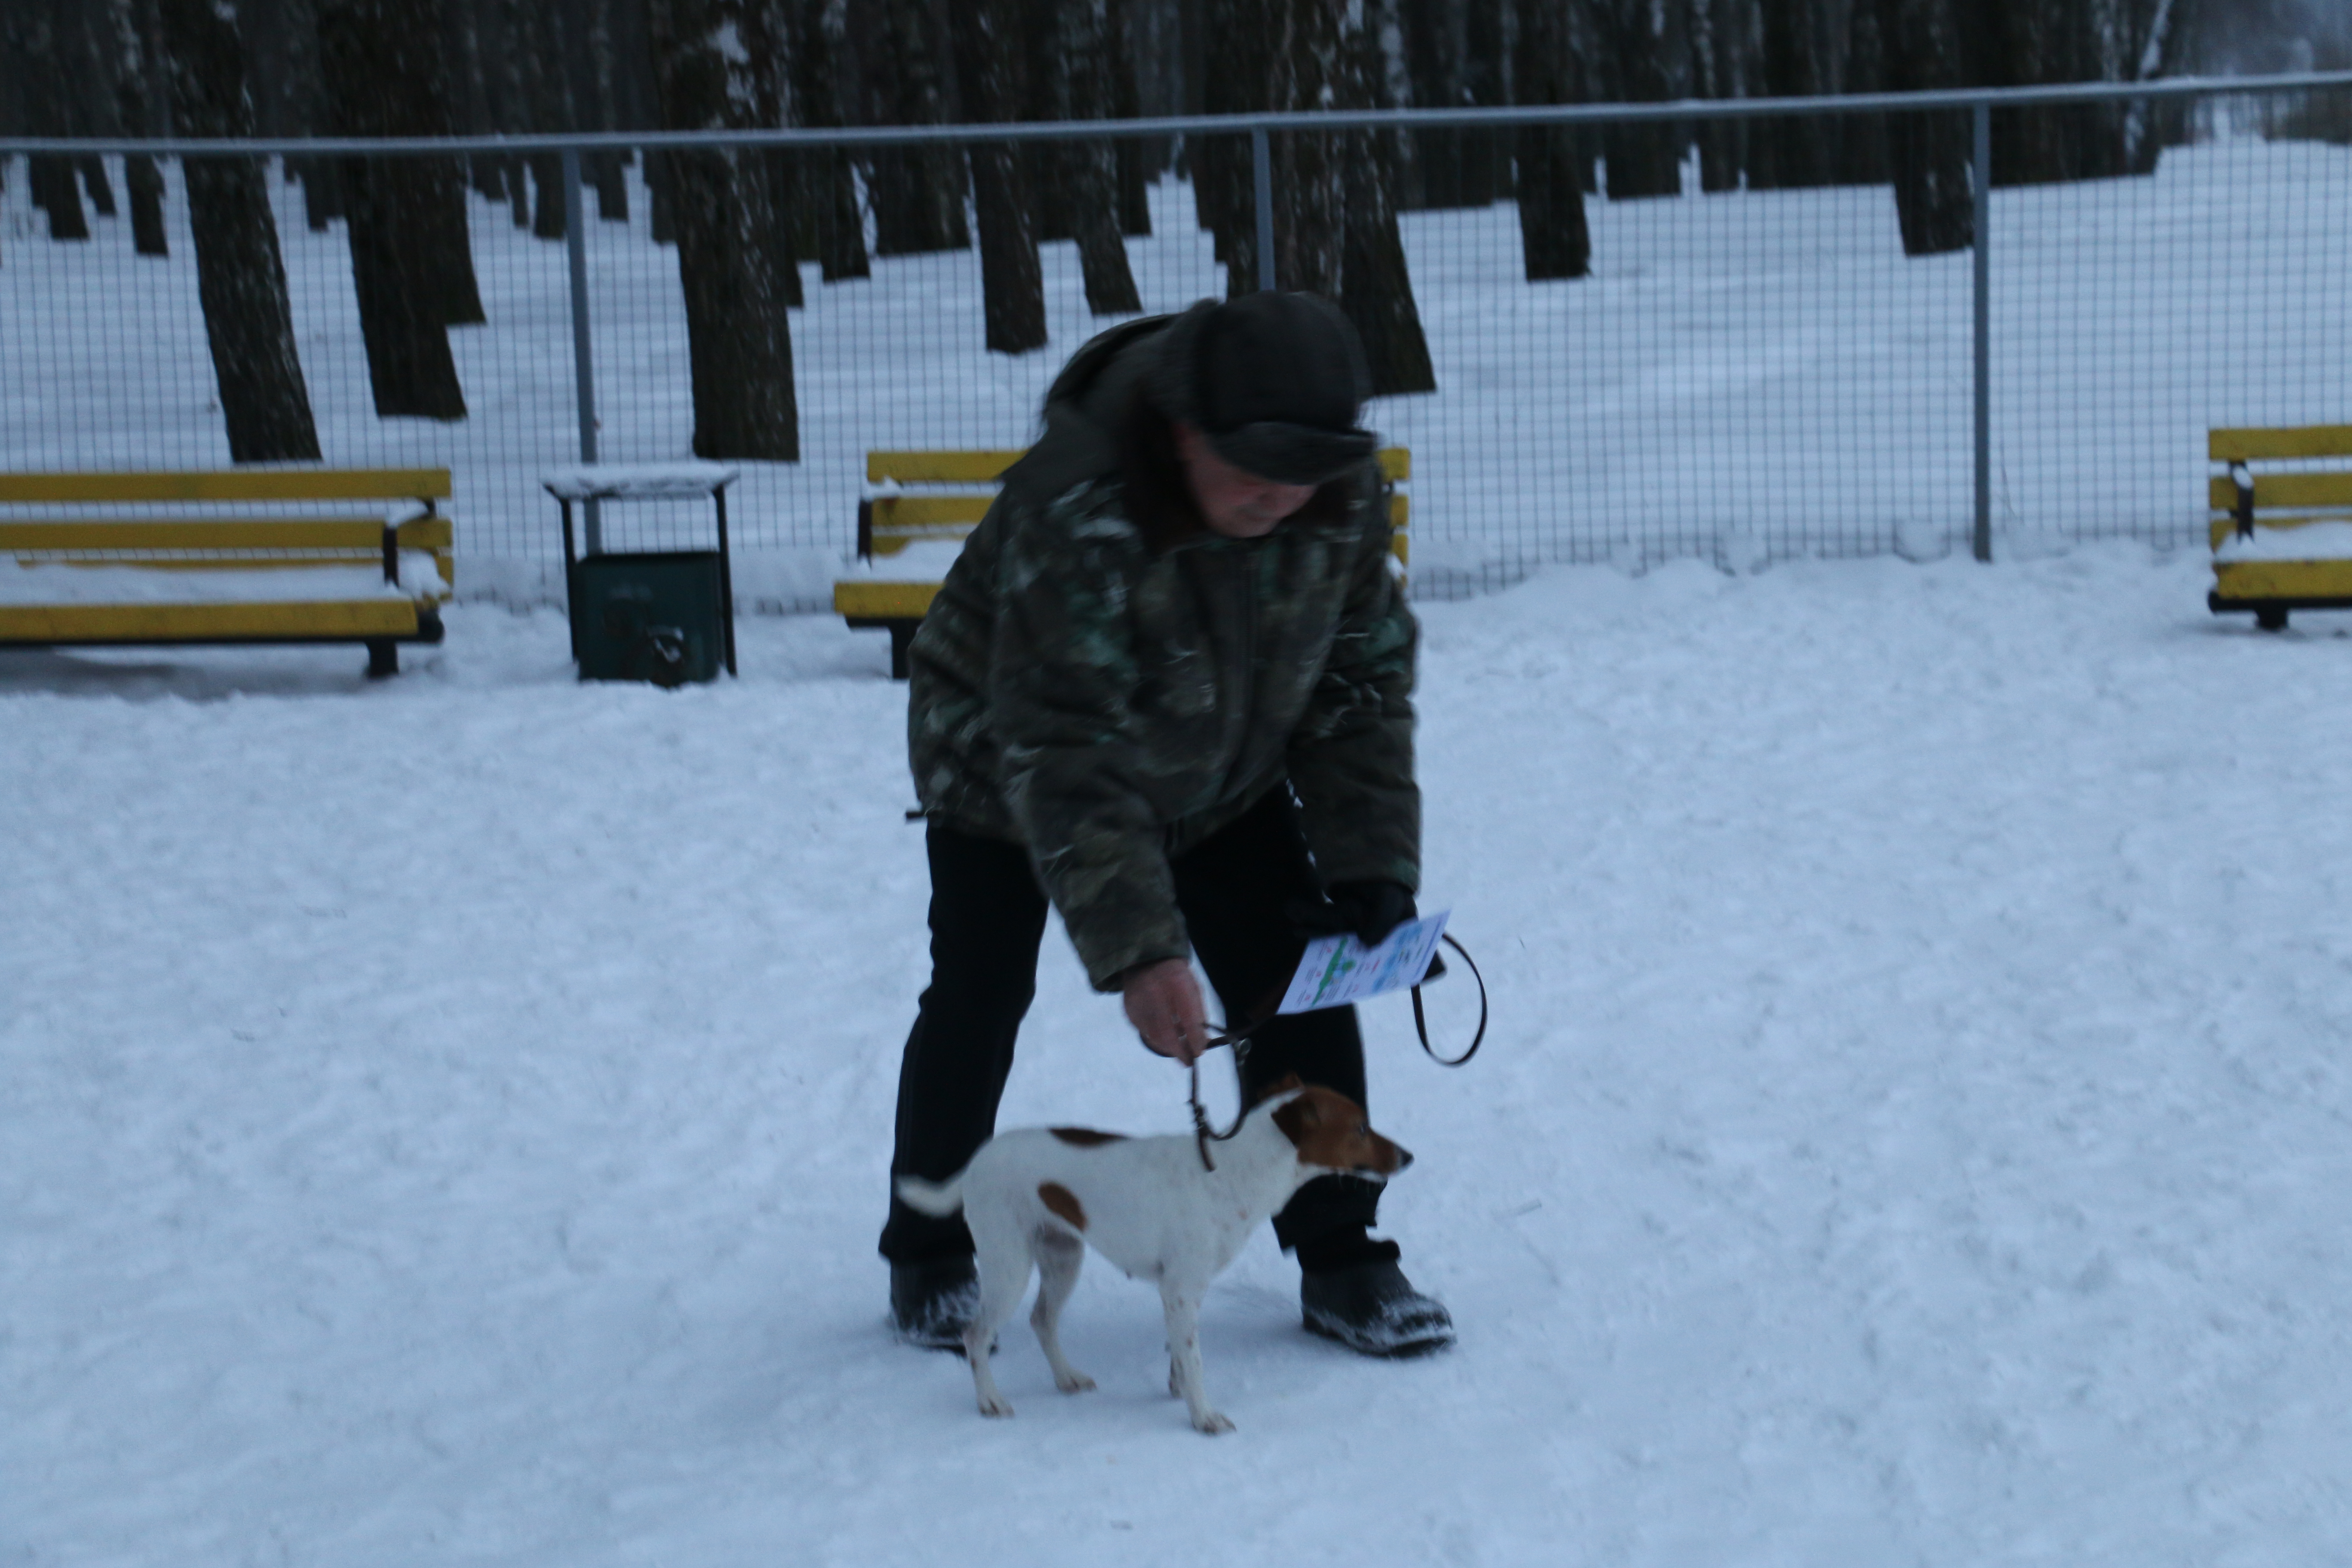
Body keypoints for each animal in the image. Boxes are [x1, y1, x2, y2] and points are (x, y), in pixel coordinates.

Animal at [889, 1081, 1402, 1439]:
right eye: (1360, 1128)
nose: (1408, 1156)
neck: (1235, 1172)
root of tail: (975, 1164)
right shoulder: (1181, 1290)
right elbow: (1194, 1359)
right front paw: (1204, 1417)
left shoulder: (1181, 1292)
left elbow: (1178, 1352)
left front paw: (1179, 1391)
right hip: (1008, 1264)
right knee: (975, 1335)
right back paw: (991, 1401)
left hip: (1063, 1256)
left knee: (1042, 1320)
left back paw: (1066, 1377)